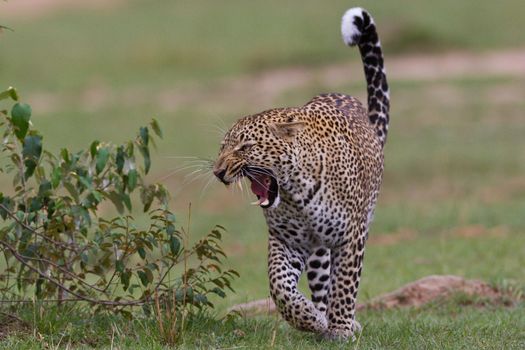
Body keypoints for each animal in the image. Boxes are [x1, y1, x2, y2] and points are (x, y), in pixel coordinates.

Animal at [211, 6, 386, 340]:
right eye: (223, 147)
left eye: (245, 146)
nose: (218, 171)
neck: (296, 194)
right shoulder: (287, 242)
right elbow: (279, 285)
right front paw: (310, 319)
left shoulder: (351, 237)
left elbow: (345, 286)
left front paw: (340, 328)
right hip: (318, 253)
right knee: (321, 284)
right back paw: (320, 316)